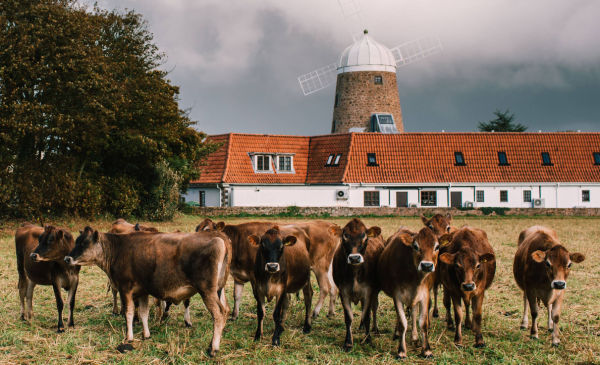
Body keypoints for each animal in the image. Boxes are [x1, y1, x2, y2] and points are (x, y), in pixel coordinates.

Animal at [65, 228, 230, 356]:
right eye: (76, 241)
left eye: (84, 243)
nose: (67, 258)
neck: (118, 250)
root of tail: (219, 237)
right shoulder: (142, 291)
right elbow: (143, 313)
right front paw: (146, 335)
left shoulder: (125, 288)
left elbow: (129, 312)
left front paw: (129, 337)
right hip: (219, 289)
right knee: (226, 309)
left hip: (207, 290)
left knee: (219, 313)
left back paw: (213, 348)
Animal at [196, 218, 340, 318]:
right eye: (197, 230)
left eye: (208, 230)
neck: (238, 240)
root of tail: (332, 225)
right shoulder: (238, 276)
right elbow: (236, 295)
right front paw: (234, 316)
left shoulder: (255, 276)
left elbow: (258, 297)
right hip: (329, 267)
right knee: (334, 287)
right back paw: (331, 312)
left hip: (320, 266)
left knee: (325, 287)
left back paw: (315, 312)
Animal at [330, 218, 382, 352]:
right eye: (345, 237)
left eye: (365, 237)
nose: (354, 258)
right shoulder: (343, 292)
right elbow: (348, 317)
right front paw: (348, 342)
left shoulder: (368, 291)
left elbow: (367, 315)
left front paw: (368, 339)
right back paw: (361, 327)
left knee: (374, 308)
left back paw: (375, 329)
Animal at [380, 226, 440, 356]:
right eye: (415, 246)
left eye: (437, 247)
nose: (427, 265)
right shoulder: (397, 295)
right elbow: (403, 323)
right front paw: (401, 351)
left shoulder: (424, 295)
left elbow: (423, 323)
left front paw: (427, 350)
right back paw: (397, 333)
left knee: (413, 312)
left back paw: (415, 337)